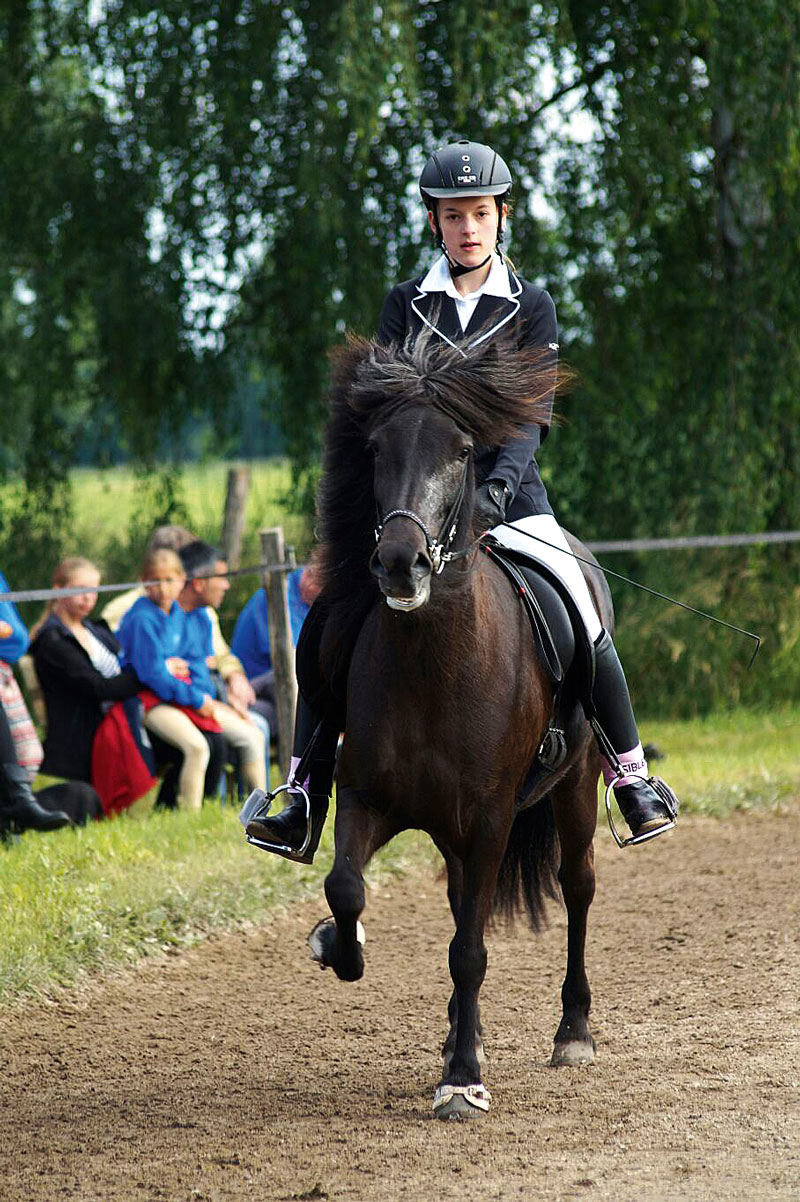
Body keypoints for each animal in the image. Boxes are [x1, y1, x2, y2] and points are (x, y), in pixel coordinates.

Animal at [302, 331, 607, 1115]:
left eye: (463, 449)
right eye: (374, 448)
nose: (401, 565)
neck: (432, 666)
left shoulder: (492, 816)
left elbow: (469, 950)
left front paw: (463, 1078)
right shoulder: (368, 798)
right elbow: (345, 889)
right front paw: (340, 947)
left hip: (575, 787)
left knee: (576, 886)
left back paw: (572, 1032)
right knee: (459, 900)